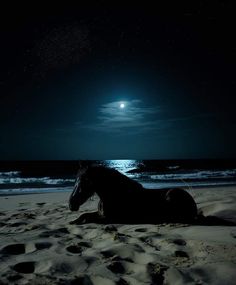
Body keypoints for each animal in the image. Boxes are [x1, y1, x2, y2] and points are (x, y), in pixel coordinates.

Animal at [68, 164, 199, 224]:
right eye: (75, 180)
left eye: (85, 182)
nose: (71, 204)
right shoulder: (101, 213)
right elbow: (84, 215)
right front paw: (73, 221)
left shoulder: (109, 218)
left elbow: (88, 219)